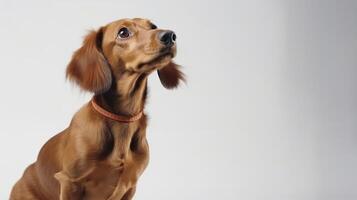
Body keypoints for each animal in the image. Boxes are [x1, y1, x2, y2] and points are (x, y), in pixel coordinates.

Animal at [10, 18, 184, 199]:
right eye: (123, 32)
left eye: (153, 26)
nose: (170, 36)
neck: (123, 120)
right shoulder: (70, 182)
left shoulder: (130, 186)